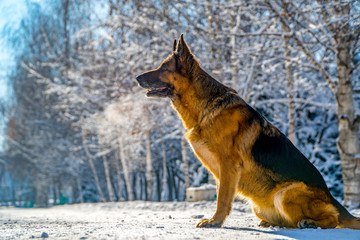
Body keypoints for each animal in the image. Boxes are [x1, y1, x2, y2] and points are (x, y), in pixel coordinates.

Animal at [136, 33, 360, 229]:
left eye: (163, 68)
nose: (137, 77)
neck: (205, 108)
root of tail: (333, 199)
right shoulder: (221, 173)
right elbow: (221, 196)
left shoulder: (228, 166)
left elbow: (222, 199)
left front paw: (215, 221)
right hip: (258, 206)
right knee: (291, 222)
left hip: (285, 194)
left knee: (332, 219)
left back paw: (311, 223)